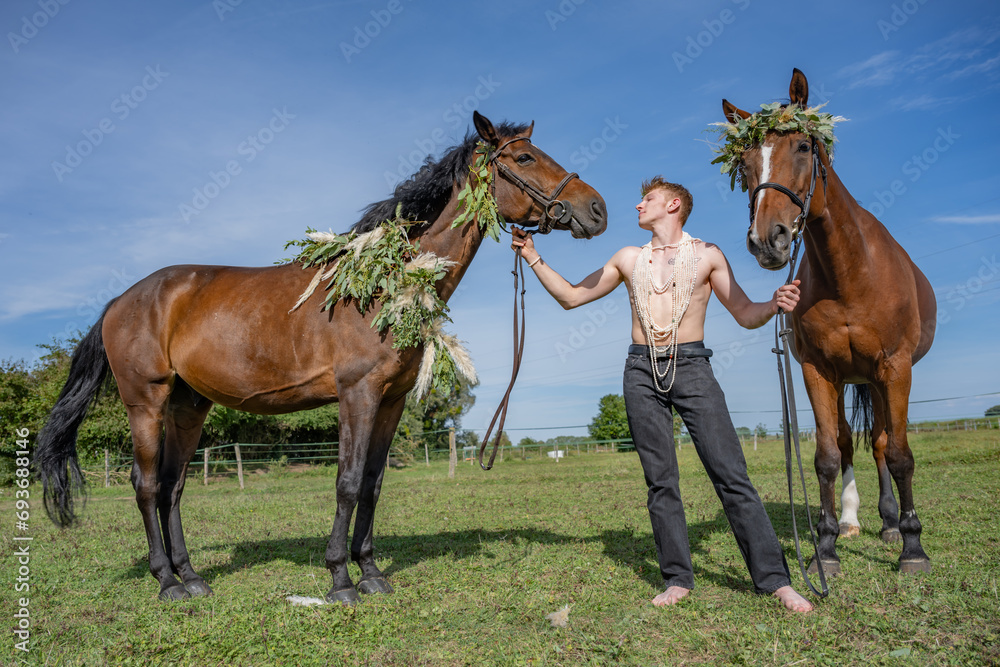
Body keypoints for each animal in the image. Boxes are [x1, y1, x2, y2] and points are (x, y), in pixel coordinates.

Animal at [35, 111, 608, 603]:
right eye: (526, 158)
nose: (597, 209)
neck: (387, 284)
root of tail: (121, 300)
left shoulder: (391, 401)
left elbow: (373, 485)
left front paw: (371, 572)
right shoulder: (357, 394)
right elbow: (348, 483)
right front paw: (340, 579)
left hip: (188, 406)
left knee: (173, 488)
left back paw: (193, 577)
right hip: (146, 403)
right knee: (147, 484)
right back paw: (167, 582)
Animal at [721, 70, 936, 575]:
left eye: (803, 146)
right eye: (743, 162)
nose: (768, 240)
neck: (850, 273)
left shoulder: (895, 368)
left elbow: (900, 455)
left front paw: (913, 547)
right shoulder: (818, 371)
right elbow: (826, 456)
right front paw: (826, 545)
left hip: (876, 379)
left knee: (880, 443)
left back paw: (892, 524)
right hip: (851, 380)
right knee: (851, 442)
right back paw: (855, 520)